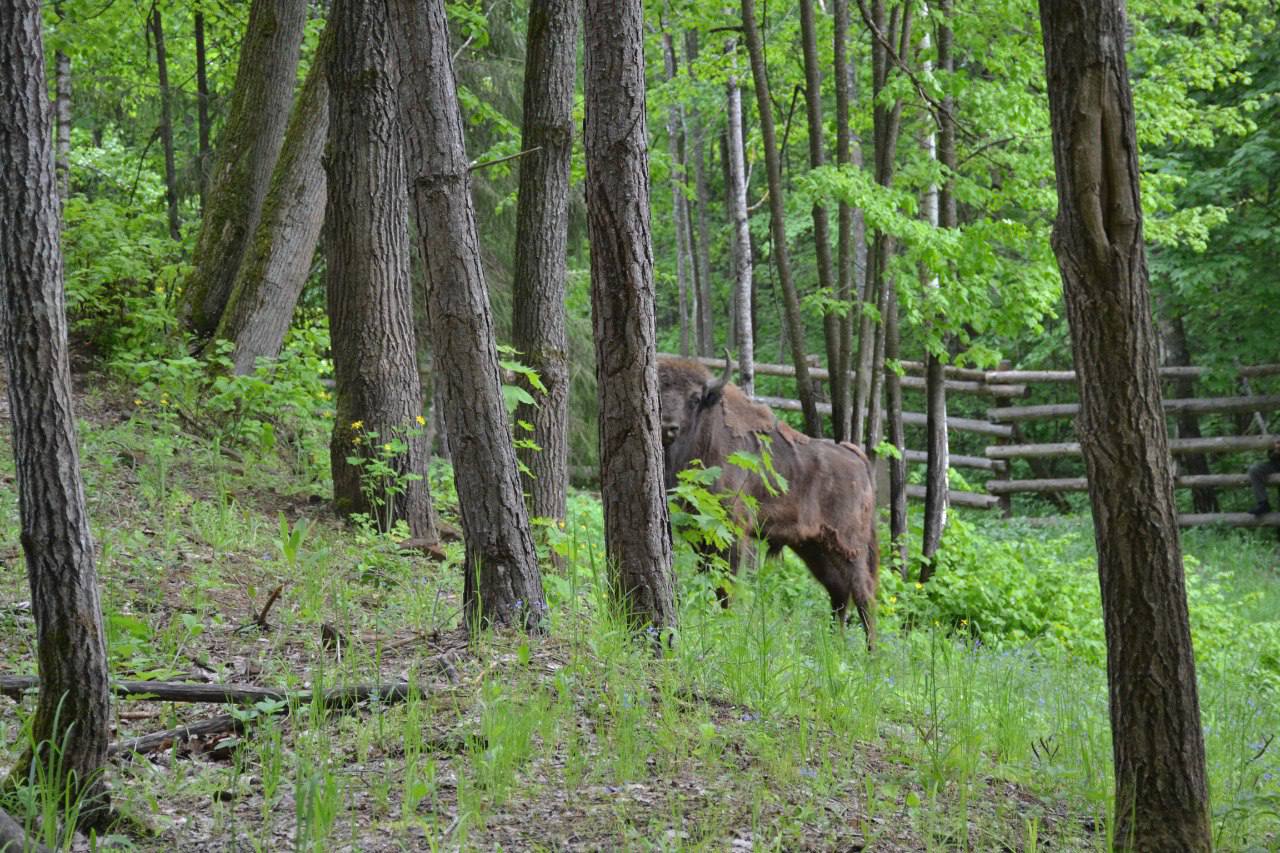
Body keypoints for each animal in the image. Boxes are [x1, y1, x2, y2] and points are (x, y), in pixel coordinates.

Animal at [660, 350, 880, 645]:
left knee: (863, 593)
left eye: (694, 399)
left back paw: (870, 651)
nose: (667, 427)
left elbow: (725, 584)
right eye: (659, 391)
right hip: (814, 546)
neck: (707, 435)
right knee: (839, 591)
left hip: (848, 546)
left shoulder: (732, 531)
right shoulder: (702, 534)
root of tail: (857, 457)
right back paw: (835, 644)